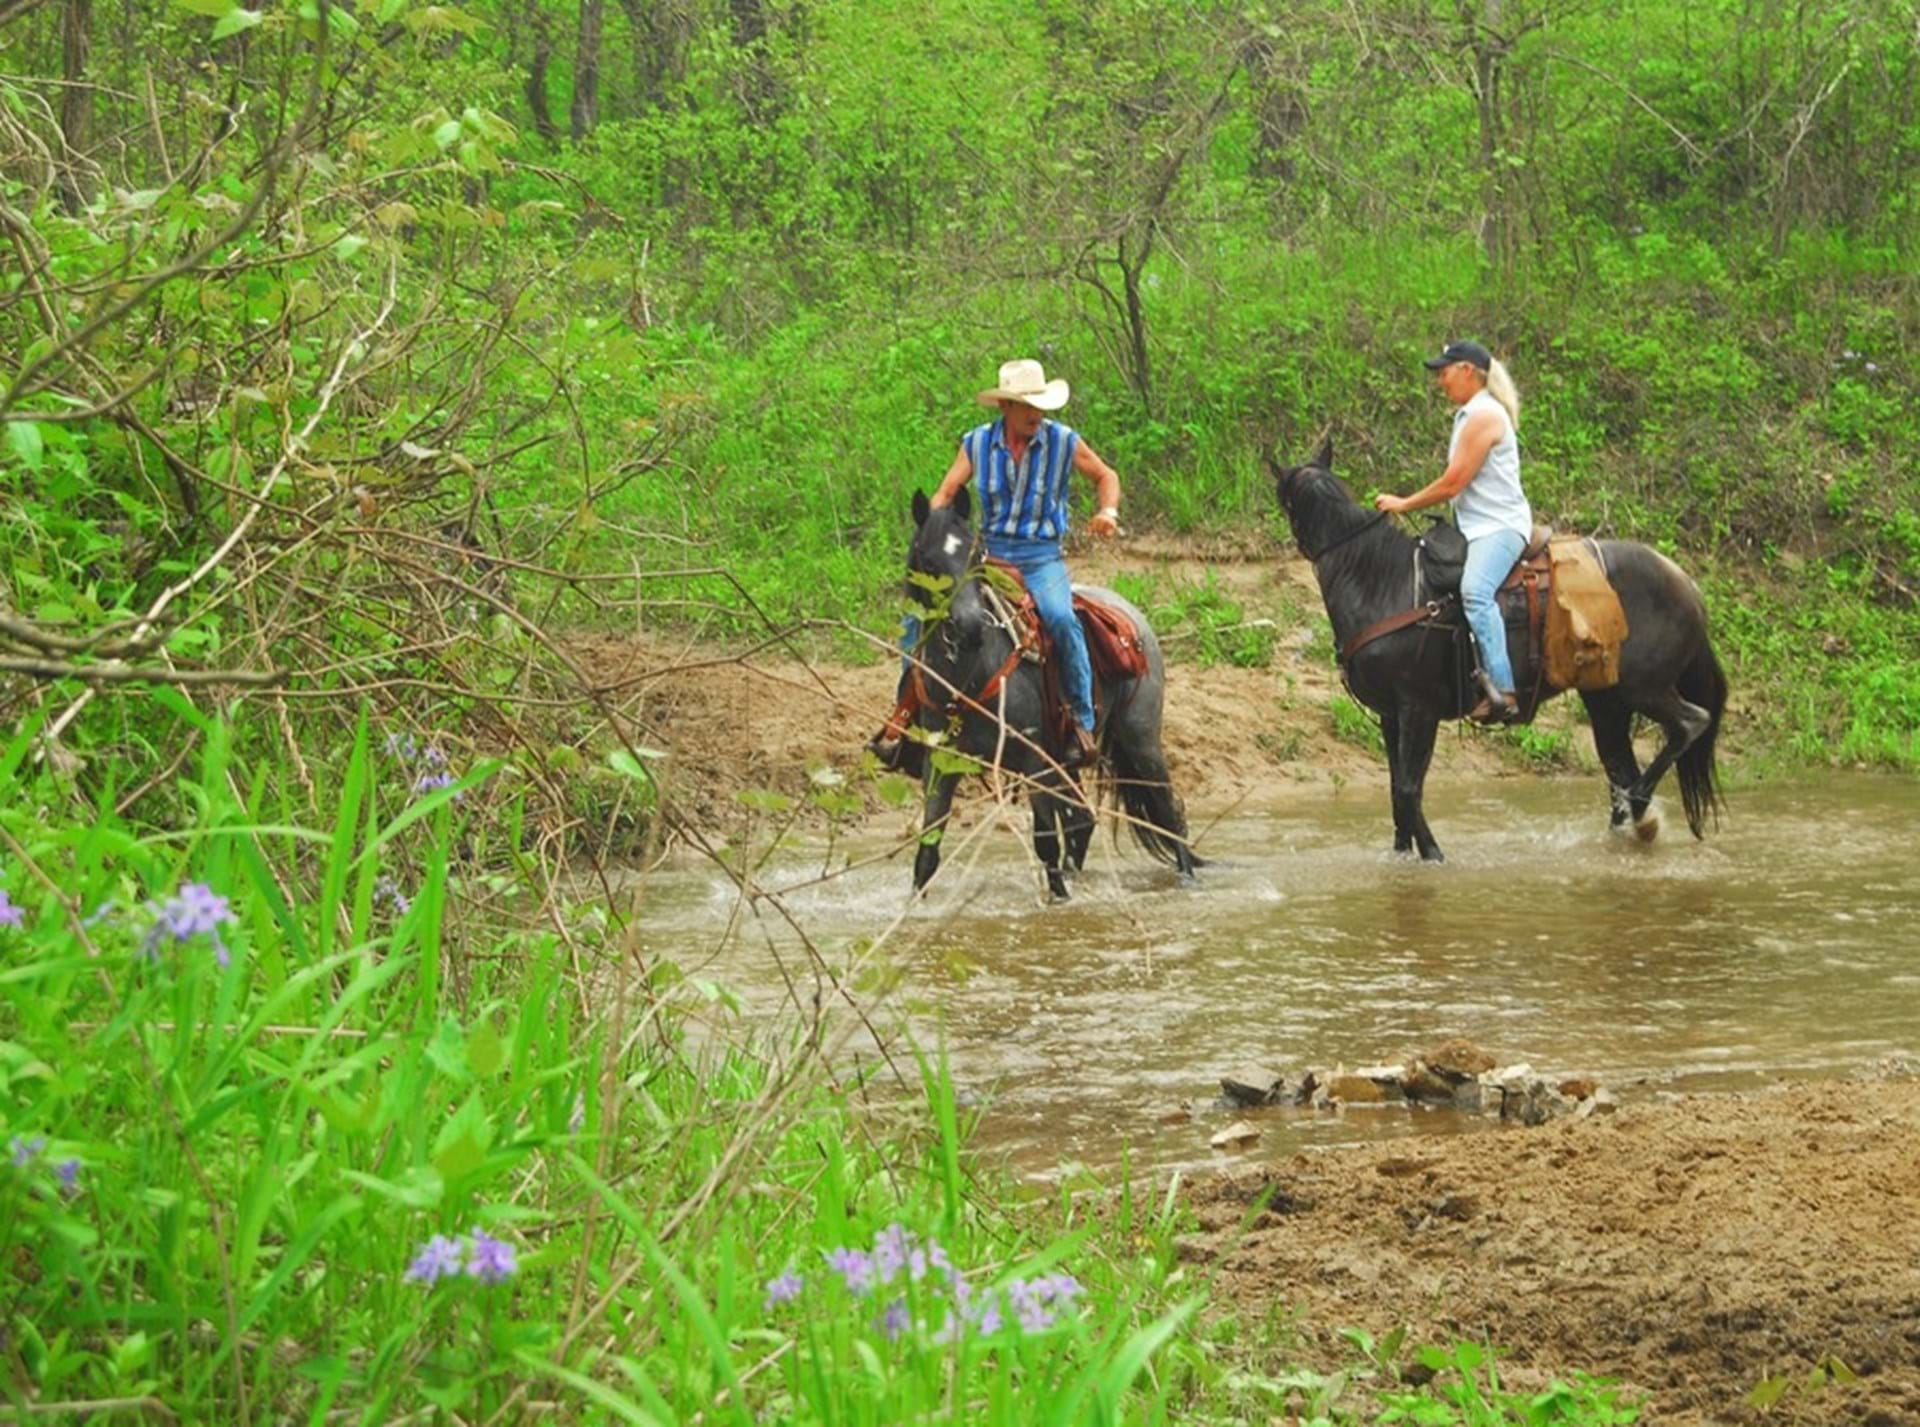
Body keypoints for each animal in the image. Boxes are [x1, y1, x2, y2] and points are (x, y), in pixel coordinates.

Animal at [890, 485, 1190, 898]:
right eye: (929, 560)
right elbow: (927, 853)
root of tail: (1135, 616)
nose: (971, 626)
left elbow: (1045, 842)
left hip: (1140, 741)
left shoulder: (1033, 762)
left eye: (976, 554)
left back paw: (1188, 880)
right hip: (1066, 758)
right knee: (1082, 820)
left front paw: (1059, 901)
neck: (969, 675)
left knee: (1170, 815)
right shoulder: (940, 762)